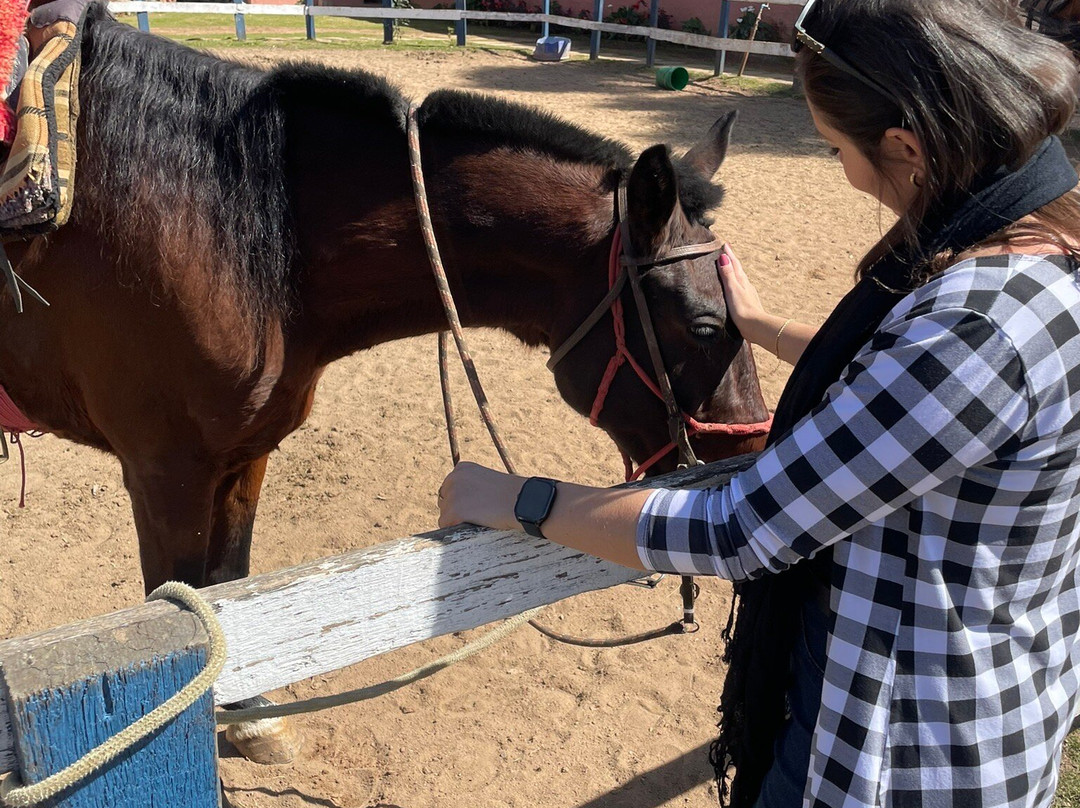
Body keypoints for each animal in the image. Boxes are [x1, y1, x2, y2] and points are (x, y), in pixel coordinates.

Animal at [0, 5, 771, 764]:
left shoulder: (244, 457)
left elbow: (233, 591)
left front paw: (250, 721)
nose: (750, 451)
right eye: (705, 325)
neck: (225, 227)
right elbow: (188, 604)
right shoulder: (165, 474)